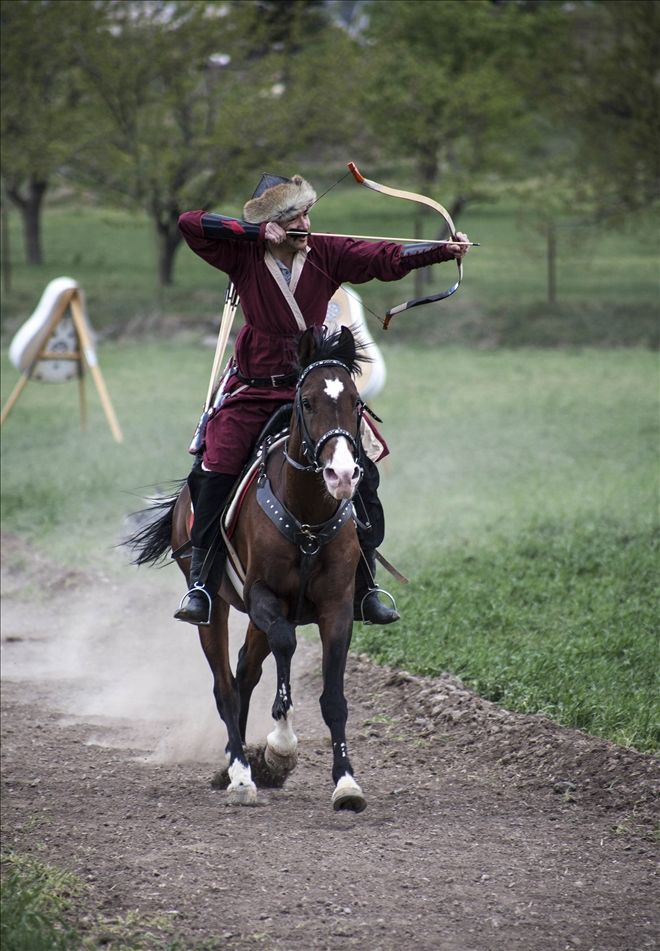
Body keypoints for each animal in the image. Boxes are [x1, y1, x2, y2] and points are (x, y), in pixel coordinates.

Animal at [126, 328, 368, 812]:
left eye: (355, 402)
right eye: (307, 401)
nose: (342, 474)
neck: (307, 517)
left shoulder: (336, 608)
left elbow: (334, 697)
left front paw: (346, 782)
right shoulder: (263, 597)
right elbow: (285, 645)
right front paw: (281, 744)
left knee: (245, 672)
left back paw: (234, 765)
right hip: (214, 607)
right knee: (225, 684)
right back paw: (239, 773)